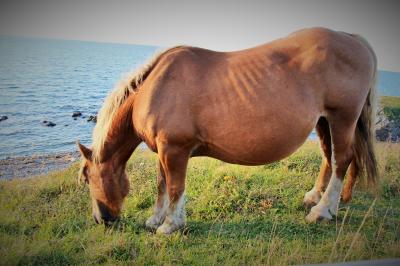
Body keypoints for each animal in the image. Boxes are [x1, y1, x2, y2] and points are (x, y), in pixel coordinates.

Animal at [77, 28, 378, 234]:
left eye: (86, 179)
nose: (101, 220)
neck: (154, 87)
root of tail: (353, 39)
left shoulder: (174, 148)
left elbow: (174, 186)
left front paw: (170, 225)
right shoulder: (164, 150)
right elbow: (162, 184)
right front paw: (155, 219)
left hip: (342, 118)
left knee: (342, 160)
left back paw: (323, 211)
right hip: (323, 121)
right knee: (329, 157)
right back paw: (315, 198)